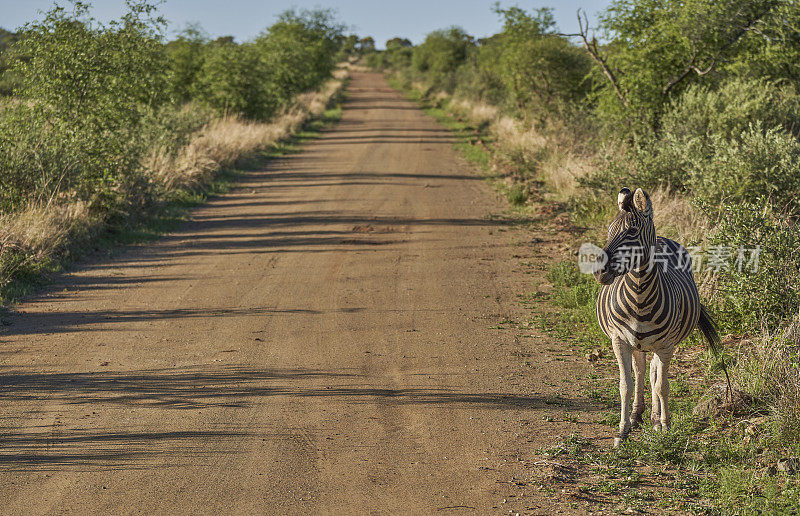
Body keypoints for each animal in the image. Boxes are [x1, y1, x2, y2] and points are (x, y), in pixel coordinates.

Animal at [588, 187, 724, 446]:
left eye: (631, 231)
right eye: (610, 230)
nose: (600, 272)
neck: (639, 298)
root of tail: (661, 238)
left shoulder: (666, 345)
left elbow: (662, 385)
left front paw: (665, 425)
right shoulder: (619, 341)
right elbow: (626, 385)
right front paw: (622, 431)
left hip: (660, 344)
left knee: (652, 373)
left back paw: (654, 418)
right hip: (637, 343)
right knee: (641, 370)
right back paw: (636, 415)